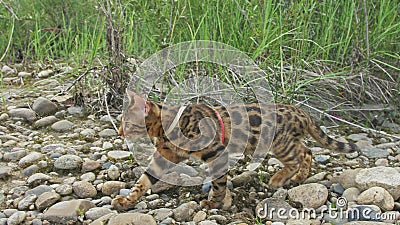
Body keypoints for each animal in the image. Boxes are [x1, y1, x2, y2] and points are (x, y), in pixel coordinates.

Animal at [111, 90, 358, 211]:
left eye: (127, 123)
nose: (120, 133)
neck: (170, 125)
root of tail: (302, 112)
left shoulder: (216, 152)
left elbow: (219, 183)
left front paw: (214, 203)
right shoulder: (164, 157)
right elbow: (143, 181)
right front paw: (127, 201)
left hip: (280, 143)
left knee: (300, 155)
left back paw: (280, 178)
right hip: (286, 141)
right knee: (307, 151)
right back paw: (299, 176)